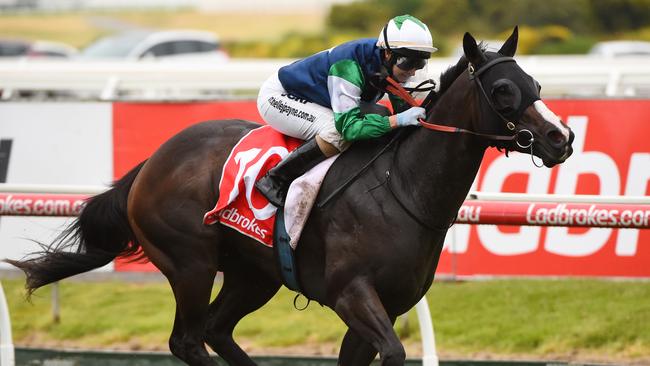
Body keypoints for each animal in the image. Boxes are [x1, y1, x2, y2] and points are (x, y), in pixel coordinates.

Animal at [6, 26, 572, 366]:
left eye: (536, 82)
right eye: (502, 91)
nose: (561, 137)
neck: (403, 188)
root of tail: (151, 163)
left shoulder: (385, 306)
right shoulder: (352, 294)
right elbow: (393, 353)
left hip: (253, 274)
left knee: (216, 331)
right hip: (190, 263)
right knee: (188, 339)